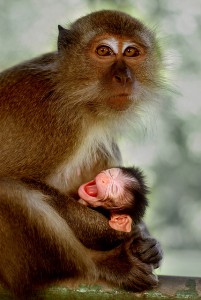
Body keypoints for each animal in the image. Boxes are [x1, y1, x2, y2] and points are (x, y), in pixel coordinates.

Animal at [0, 9, 163, 298]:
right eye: (104, 51)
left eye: (131, 52)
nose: (124, 76)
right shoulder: (56, 123)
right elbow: (12, 178)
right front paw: (119, 233)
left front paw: (148, 241)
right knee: (10, 190)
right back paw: (105, 265)